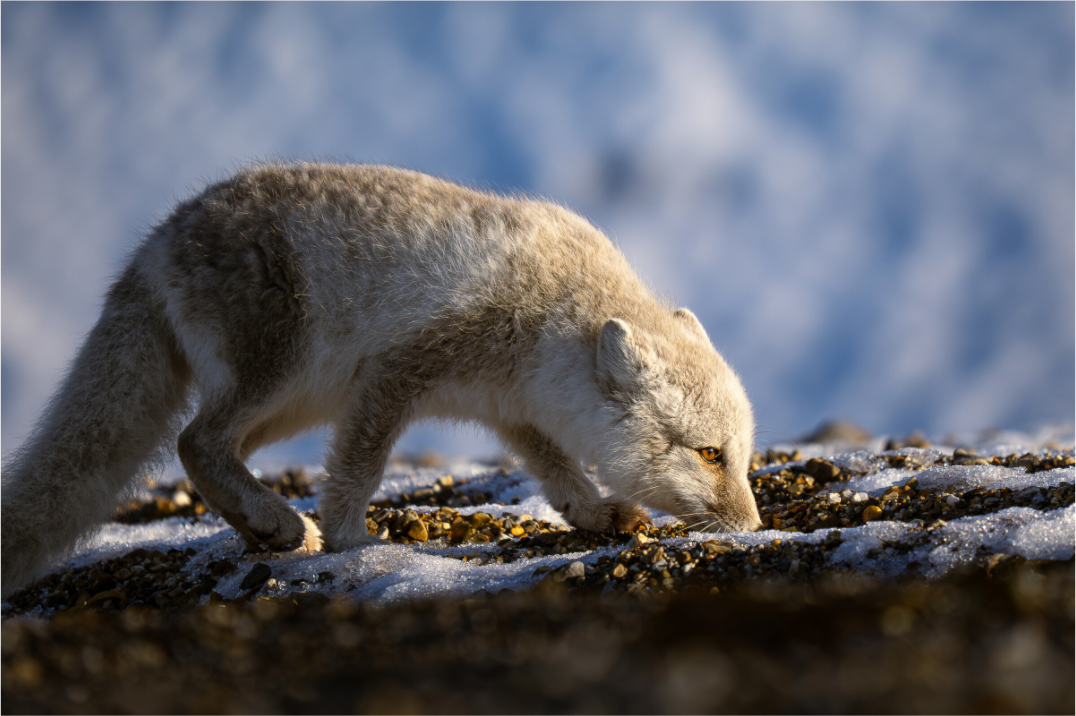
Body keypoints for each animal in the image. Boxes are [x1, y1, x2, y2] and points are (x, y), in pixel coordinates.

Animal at [0, 162, 761, 597]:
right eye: (710, 454)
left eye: (742, 456)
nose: (755, 528)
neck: (552, 316)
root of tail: (156, 242)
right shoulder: (395, 372)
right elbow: (360, 467)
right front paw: (353, 544)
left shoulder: (512, 411)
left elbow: (559, 473)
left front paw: (597, 514)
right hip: (287, 370)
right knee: (196, 440)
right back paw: (285, 524)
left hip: (295, 402)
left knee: (208, 448)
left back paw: (262, 528)